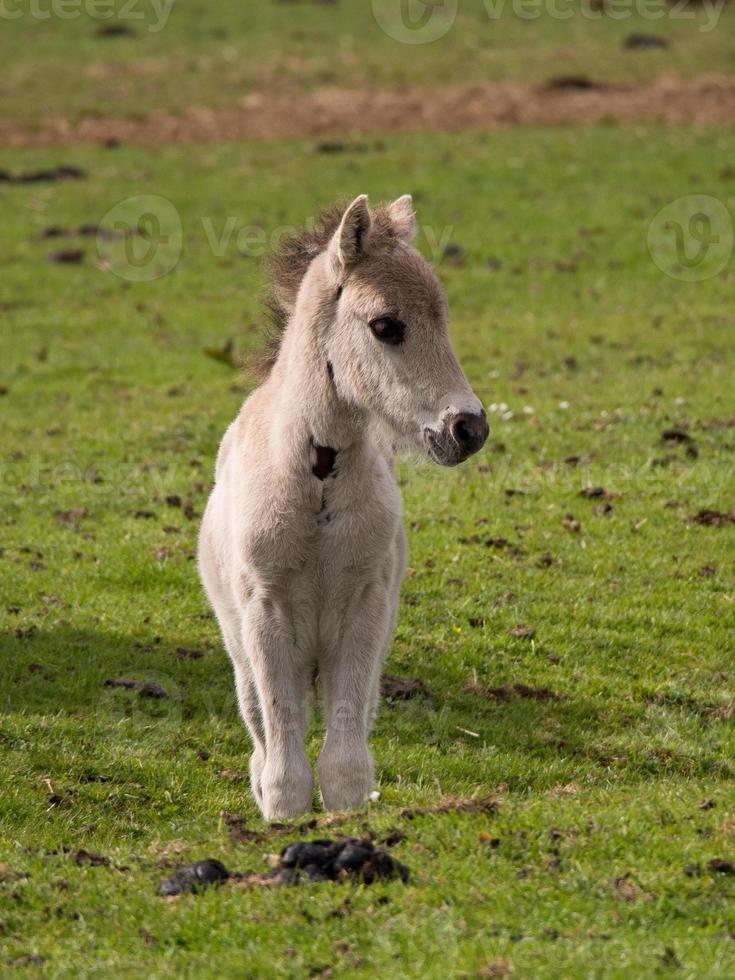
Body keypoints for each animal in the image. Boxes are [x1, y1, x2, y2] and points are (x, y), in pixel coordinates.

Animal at [200, 193, 488, 820]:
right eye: (386, 326)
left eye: (443, 318)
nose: (469, 428)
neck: (317, 481)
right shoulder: (265, 611)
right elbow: (280, 723)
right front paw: (281, 810)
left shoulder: (366, 608)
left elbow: (346, 747)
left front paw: (348, 810)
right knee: (256, 717)